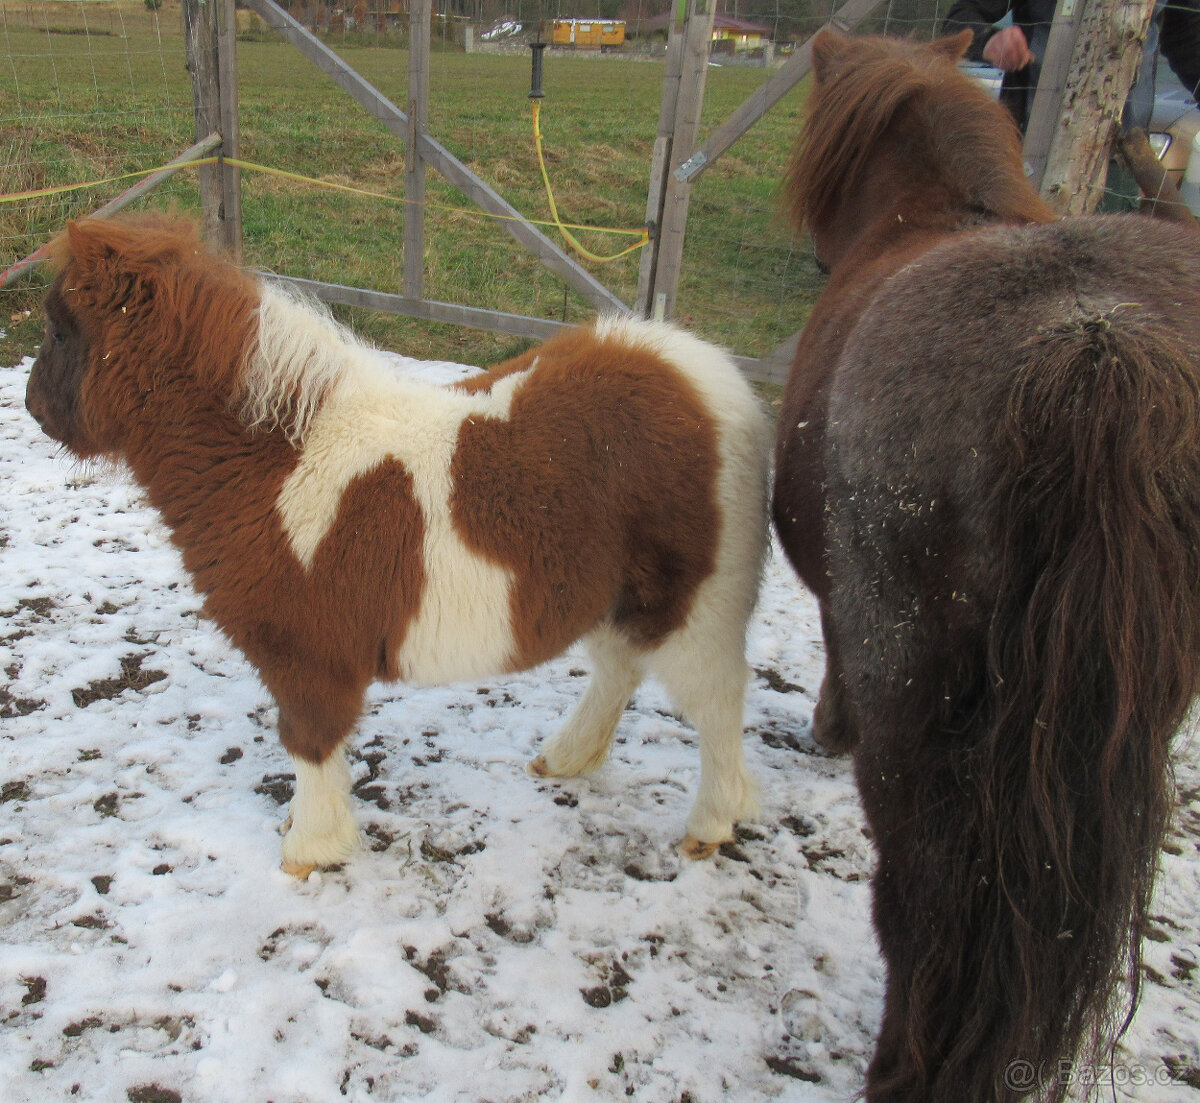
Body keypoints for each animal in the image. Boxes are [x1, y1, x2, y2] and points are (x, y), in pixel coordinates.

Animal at [25, 214, 770, 878]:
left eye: (61, 330)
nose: (32, 406)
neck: (276, 463)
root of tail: (705, 377)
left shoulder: (306, 656)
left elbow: (309, 742)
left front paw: (309, 850)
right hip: (621, 601)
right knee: (621, 671)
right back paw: (566, 759)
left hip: (693, 608)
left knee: (716, 701)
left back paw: (711, 823)